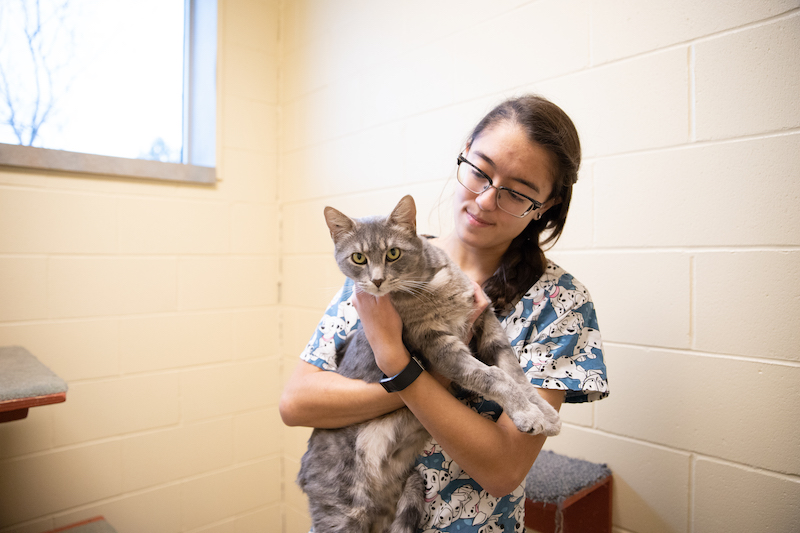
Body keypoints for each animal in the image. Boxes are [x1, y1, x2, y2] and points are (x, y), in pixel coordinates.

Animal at [296, 194, 560, 532]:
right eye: (358, 258)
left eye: (393, 253)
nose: (377, 281)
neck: (431, 285)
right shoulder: (440, 346)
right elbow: (494, 377)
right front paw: (528, 415)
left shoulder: (489, 328)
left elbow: (518, 376)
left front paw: (543, 412)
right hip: (342, 514)